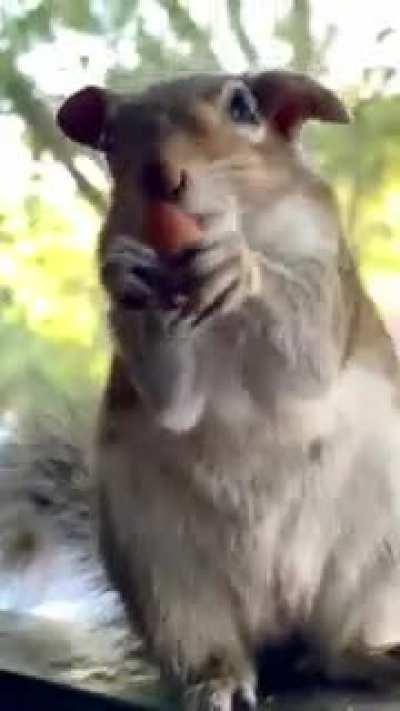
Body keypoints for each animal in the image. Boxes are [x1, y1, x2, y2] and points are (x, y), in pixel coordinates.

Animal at [55, 71, 400, 710]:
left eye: (243, 107)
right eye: (110, 138)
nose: (162, 178)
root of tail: (283, 626)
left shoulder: (321, 268)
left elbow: (306, 350)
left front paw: (241, 268)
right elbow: (172, 398)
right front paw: (128, 276)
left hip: (379, 563)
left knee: (338, 647)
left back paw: (371, 656)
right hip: (166, 580)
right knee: (208, 645)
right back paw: (214, 680)